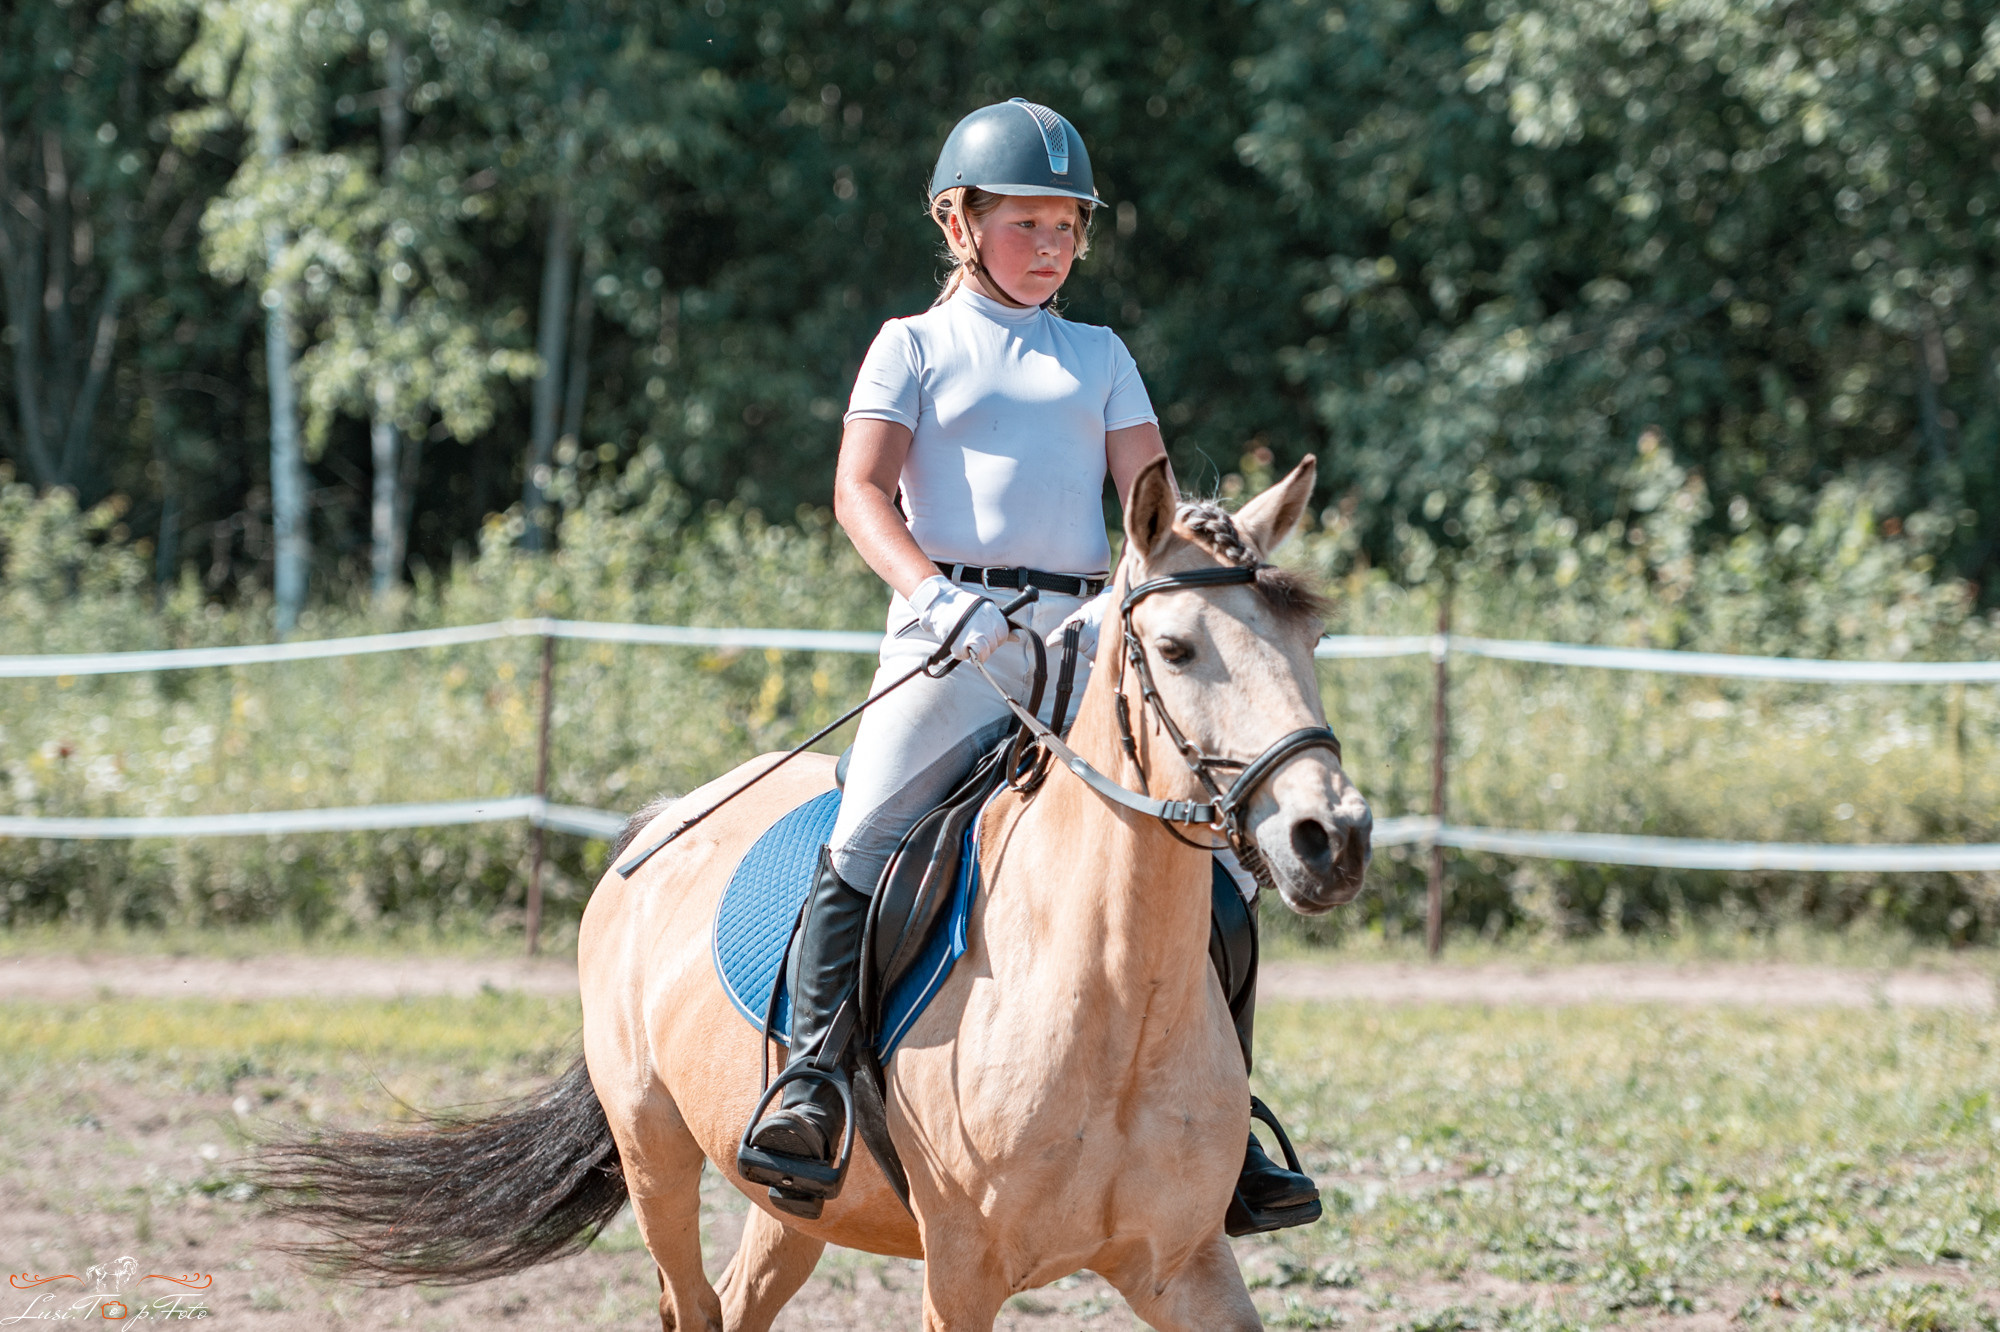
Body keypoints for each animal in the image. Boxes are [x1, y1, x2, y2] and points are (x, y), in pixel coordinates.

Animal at [256, 455, 1372, 1331]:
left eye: (1311, 644)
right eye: (1177, 650)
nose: (1332, 837)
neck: (1110, 998)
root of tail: (658, 826)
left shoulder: (1187, 1267)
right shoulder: (961, 1276)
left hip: (791, 1203)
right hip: (656, 1153)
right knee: (690, 1304)